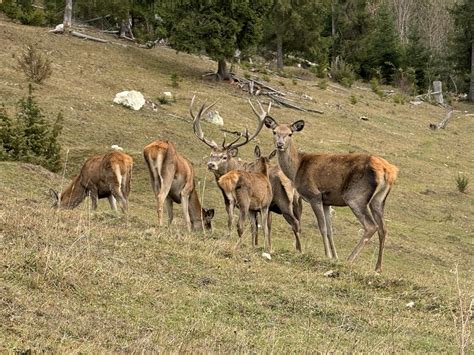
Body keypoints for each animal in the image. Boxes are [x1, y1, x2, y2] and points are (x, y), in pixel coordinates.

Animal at [191, 97, 302, 252]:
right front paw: (254, 245)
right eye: (211, 154)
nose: (211, 164)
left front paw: (257, 246)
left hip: (283, 203)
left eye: (224, 157)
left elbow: (255, 226)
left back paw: (298, 251)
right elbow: (246, 225)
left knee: (295, 224)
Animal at [264, 117, 398, 272]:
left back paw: (350, 259)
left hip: (355, 196)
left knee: (371, 226)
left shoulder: (314, 195)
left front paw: (327, 255)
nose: (280, 145)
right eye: (274, 131)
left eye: (290, 134)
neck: (296, 169)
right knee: (383, 229)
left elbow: (322, 228)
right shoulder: (327, 202)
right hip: (378, 200)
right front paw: (334, 257)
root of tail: (388, 171)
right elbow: (330, 230)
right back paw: (378, 267)